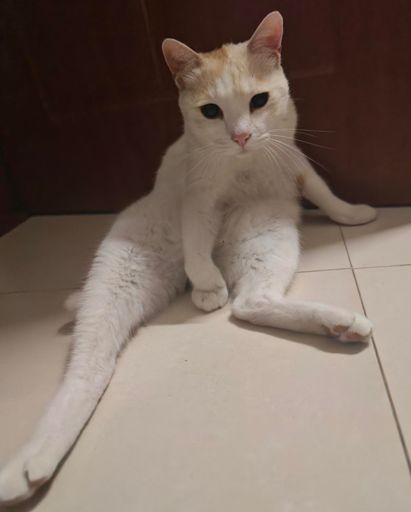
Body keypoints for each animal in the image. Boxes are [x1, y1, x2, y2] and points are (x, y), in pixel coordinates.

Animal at [0, 11, 376, 504]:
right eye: (210, 111)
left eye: (258, 101)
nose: (240, 136)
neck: (242, 166)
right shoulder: (199, 196)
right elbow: (197, 242)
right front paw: (208, 285)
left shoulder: (292, 159)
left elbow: (321, 190)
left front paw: (353, 214)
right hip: (117, 281)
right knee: (89, 368)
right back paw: (30, 469)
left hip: (269, 238)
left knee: (251, 304)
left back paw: (340, 325)